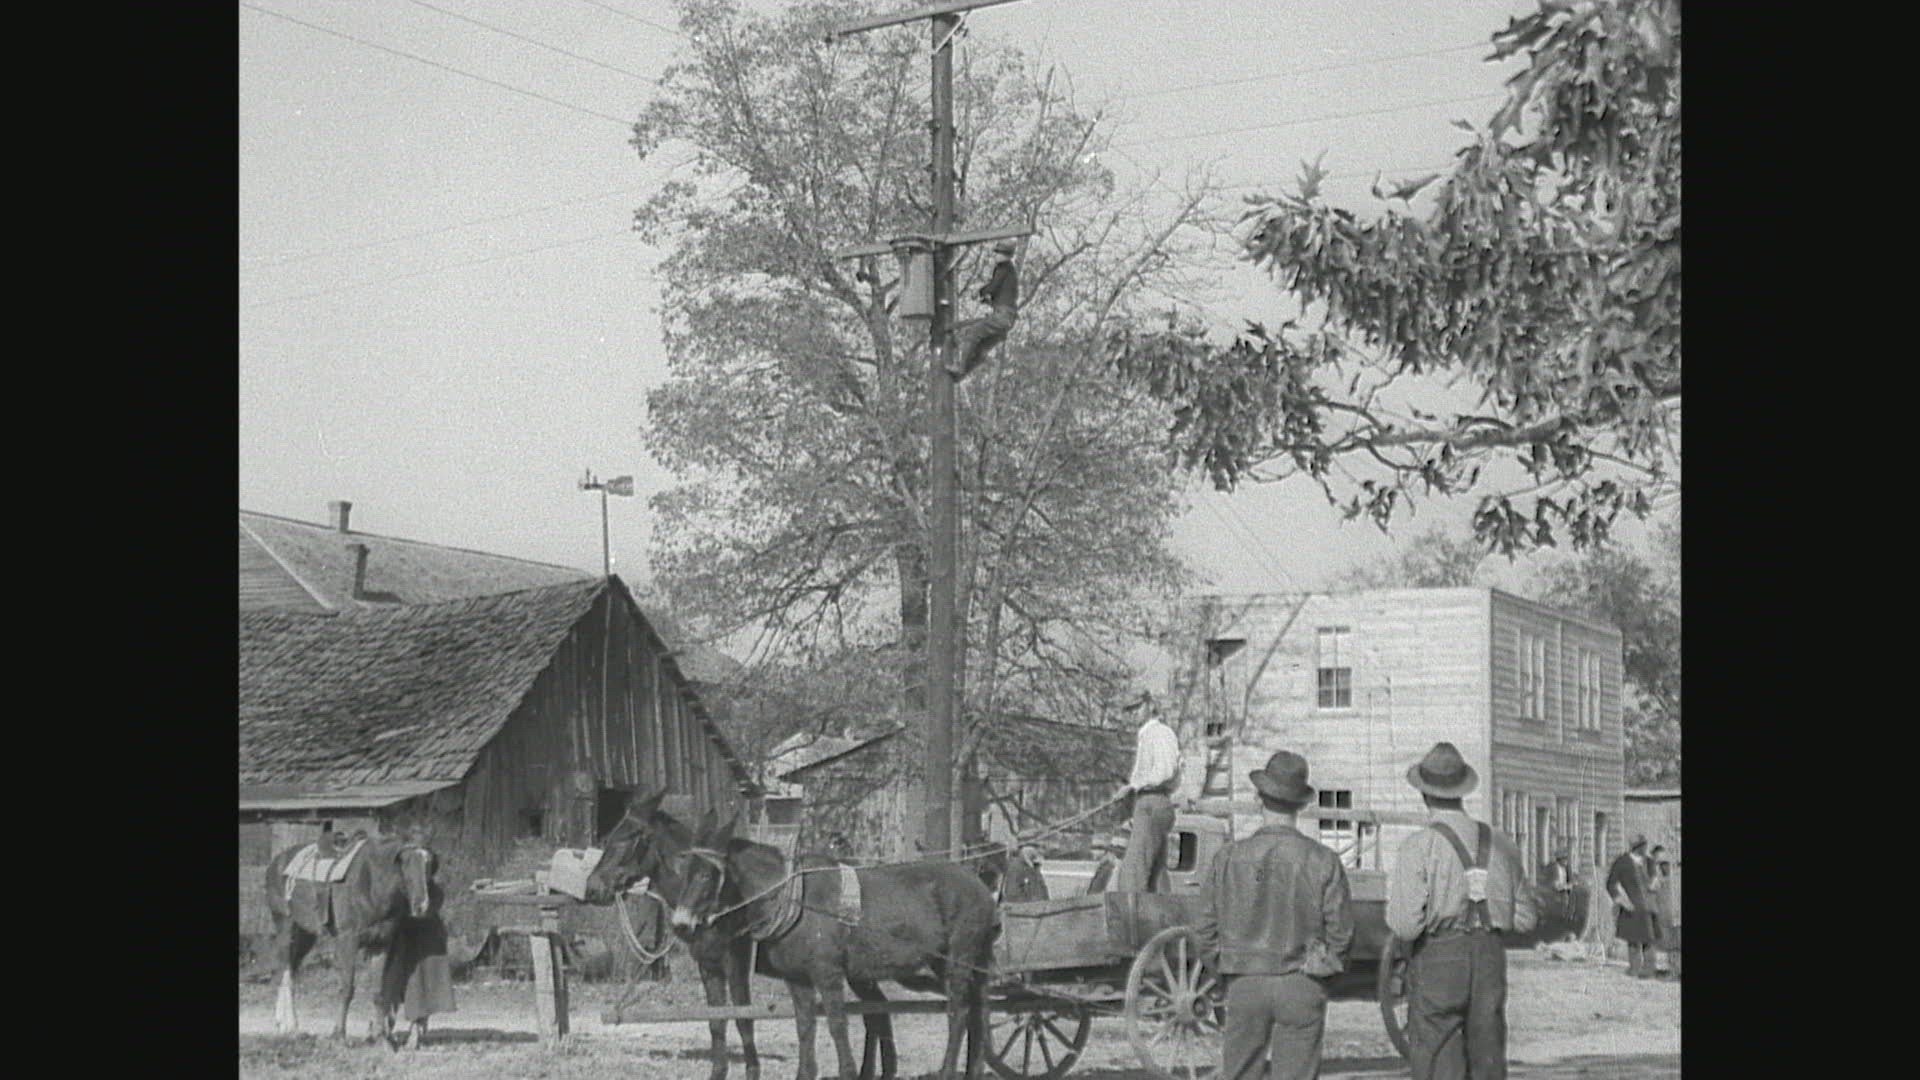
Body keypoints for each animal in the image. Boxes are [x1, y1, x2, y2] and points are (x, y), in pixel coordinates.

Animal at [262, 827, 439, 1046]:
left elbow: (378, 991)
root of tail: (275, 863)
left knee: (290, 970)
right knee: (285, 973)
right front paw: (339, 1035)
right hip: (286, 928)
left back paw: (283, 1025)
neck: (371, 882)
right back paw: (291, 1026)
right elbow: (346, 989)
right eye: (405, 861)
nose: (422, 906)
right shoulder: (348, 941)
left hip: (305, 936)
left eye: (429, 862)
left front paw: (380, 1036)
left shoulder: (381, 943)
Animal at [581, 790, 766, 1080]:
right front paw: (718, 1071)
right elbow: (717, 1020)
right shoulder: (708, 965)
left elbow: (743, 1017)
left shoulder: (736, 961)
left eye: (628, 838)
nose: (592, 888)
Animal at [671, 815, 999, 1080]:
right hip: (953, 962)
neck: (793, 900)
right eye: (681, 872)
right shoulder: (798, 979)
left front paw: (849, 1071)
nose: (680, 924)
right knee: (978, 1012)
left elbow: (836, 1025)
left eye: (705, 874)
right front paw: (805, 1073)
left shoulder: (827, 974)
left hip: (959, 958)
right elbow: (805, 1027)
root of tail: (979, 884)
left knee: (958, 1013)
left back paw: (948, 1070)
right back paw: (974, 1069)